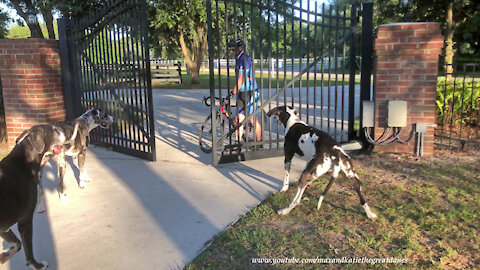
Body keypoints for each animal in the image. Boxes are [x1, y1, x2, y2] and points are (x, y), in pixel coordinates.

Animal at [0, 125, 68, 268]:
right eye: (54, 130)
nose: (66, 130)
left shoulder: (4, 225)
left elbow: (17, 244)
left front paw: (3, 257)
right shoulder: (25, 220)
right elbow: (28, 250)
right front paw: (38, 265)